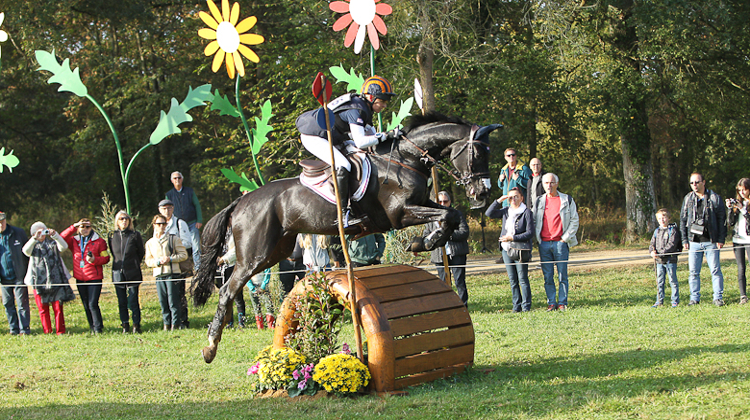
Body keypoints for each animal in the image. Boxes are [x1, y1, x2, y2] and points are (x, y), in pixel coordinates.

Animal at [191, 112, 502, 364]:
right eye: (477, 154)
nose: (483, 193)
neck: (405, 160)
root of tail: (241, 202)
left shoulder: (420, 204)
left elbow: (452, 214)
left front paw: (426, 241)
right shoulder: (399, 214)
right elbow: (447, 215)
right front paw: (425, 242)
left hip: (276, 250)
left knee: (233, 285)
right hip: (255, 253)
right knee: (227, 289)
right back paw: (210, 346)